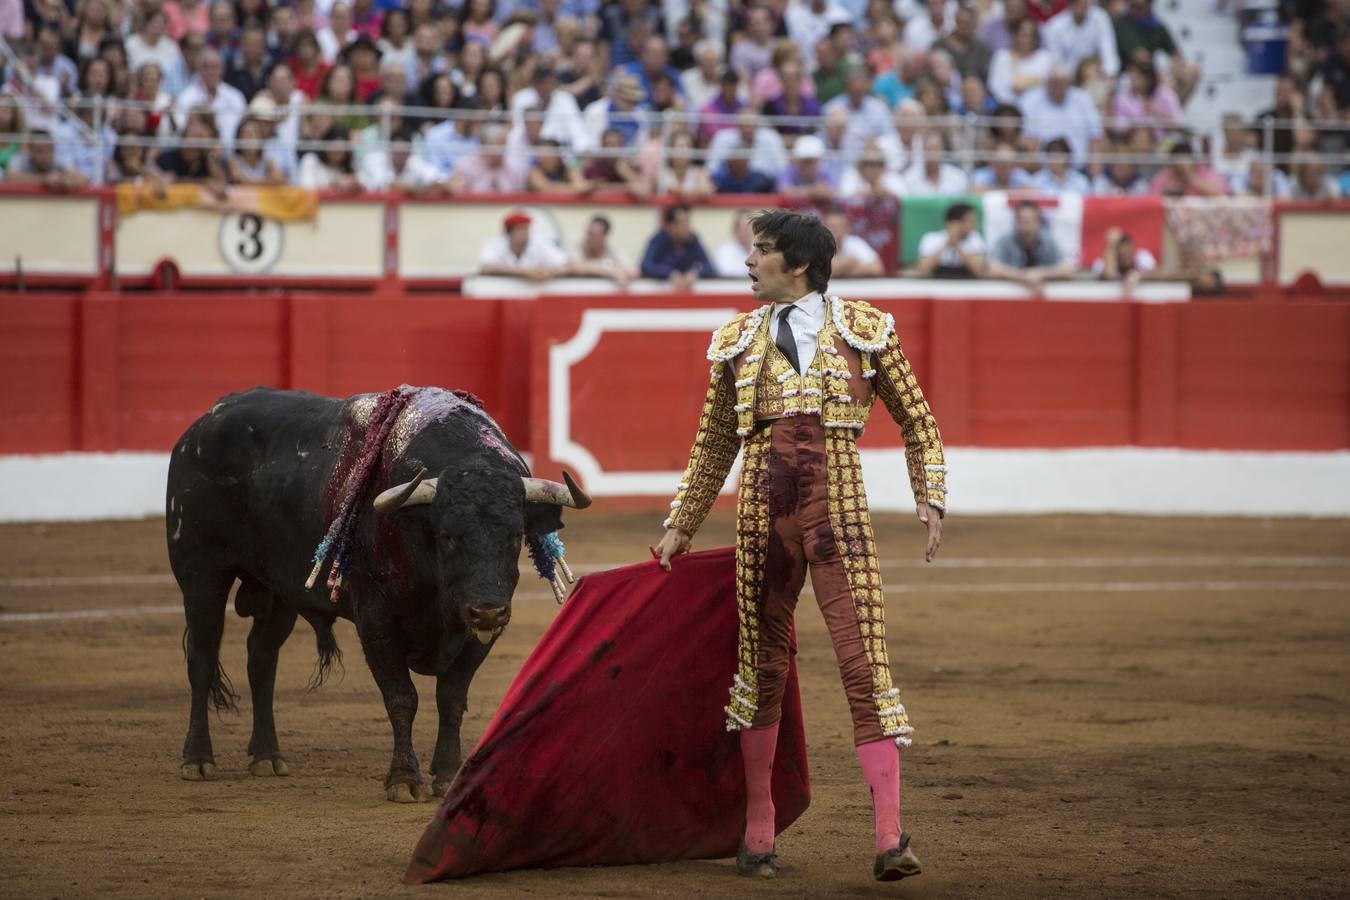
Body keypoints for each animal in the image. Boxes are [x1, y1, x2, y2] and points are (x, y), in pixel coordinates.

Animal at [163, 388, 585, 804]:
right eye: (446, 536)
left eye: (515, 536)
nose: (487, 611)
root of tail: (200, 425)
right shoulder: (376, 620)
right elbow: (402, 698)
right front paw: (404, 779)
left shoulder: (480, 635)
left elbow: (451, 697)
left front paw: (448, 775)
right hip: (201, 576)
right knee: (202, 658)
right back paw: (198, 759)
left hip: (279, 592)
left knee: (261, 660)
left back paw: (267, 756)